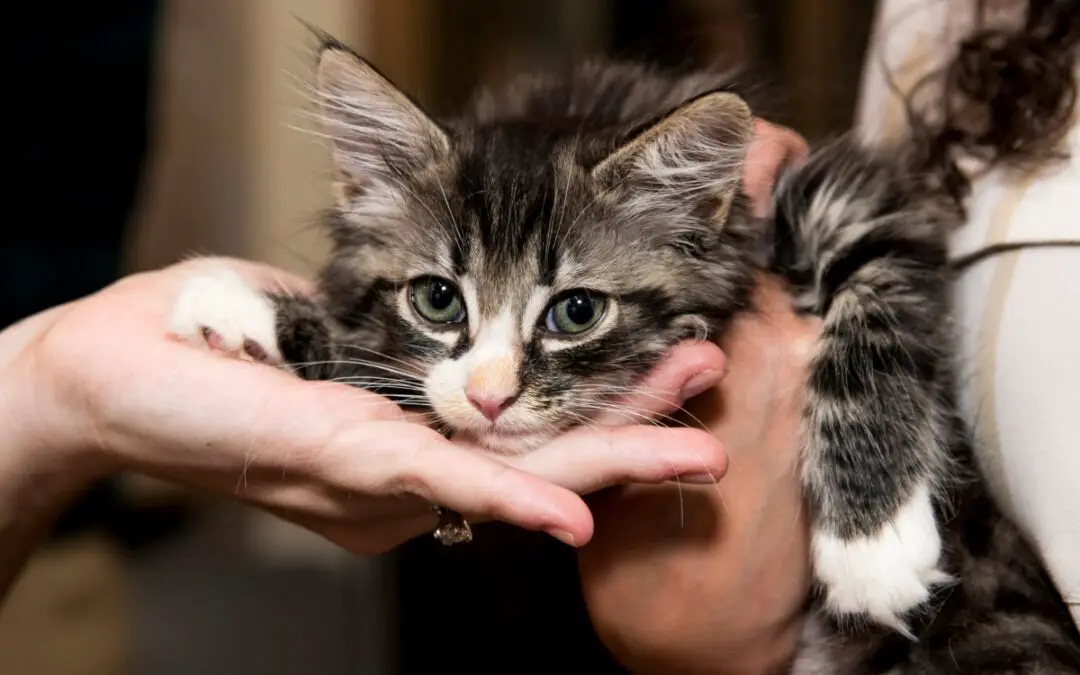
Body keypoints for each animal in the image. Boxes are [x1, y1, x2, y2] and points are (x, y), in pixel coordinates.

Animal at [168, 39, 1080, 669]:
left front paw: (873, 545)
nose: (492, 395)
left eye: (576, 311)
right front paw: (246, 305)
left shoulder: (861, 207)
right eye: (437, 299)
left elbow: (876, 324)